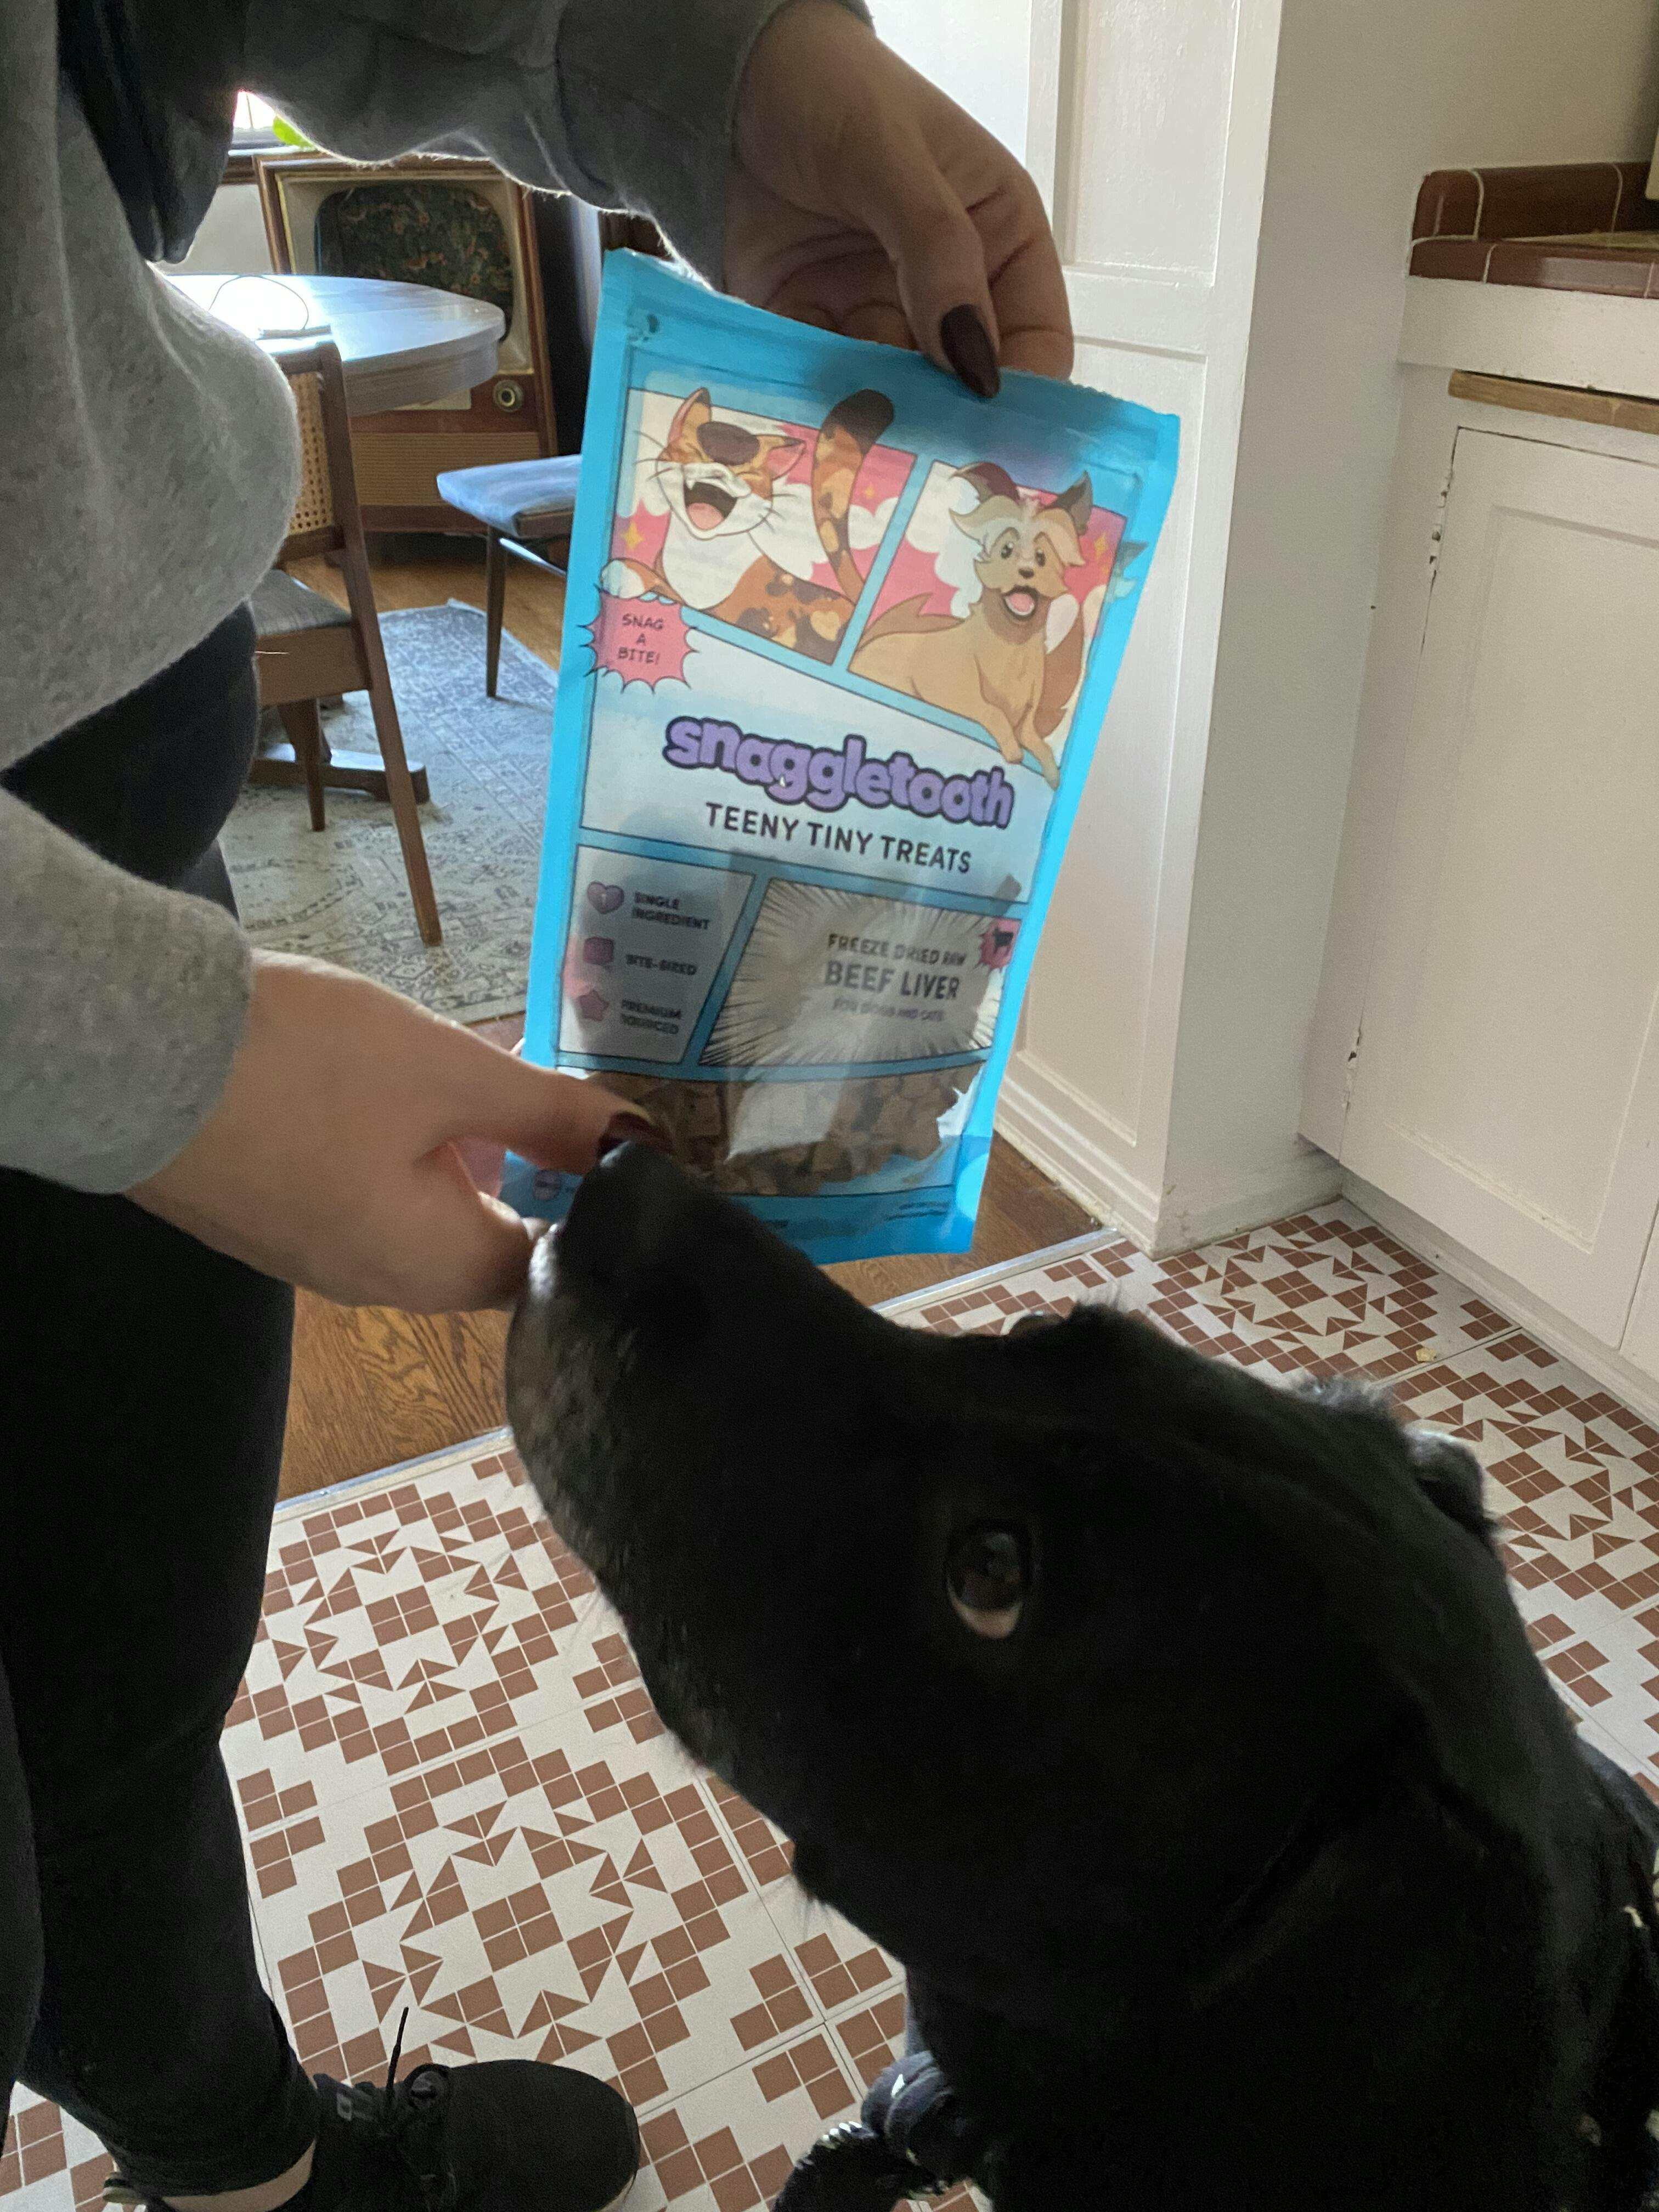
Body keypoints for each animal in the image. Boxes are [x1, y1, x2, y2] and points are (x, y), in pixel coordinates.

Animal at [601, 386, 894, 663]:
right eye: (694, 454)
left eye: (747, 475)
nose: (718, 472)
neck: (700, 555)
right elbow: (662, 582)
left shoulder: (715, 610)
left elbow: (666, 589)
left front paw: (624, 573)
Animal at [851, 466, 1092, 786]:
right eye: (1006, 550)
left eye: (1042, 557)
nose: (1026, 571)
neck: (1012, 648)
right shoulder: (956, 695)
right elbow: (992, 711)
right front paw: (1012, 750)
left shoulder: (1028, 720)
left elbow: (1038, 741)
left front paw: (1052, 773)